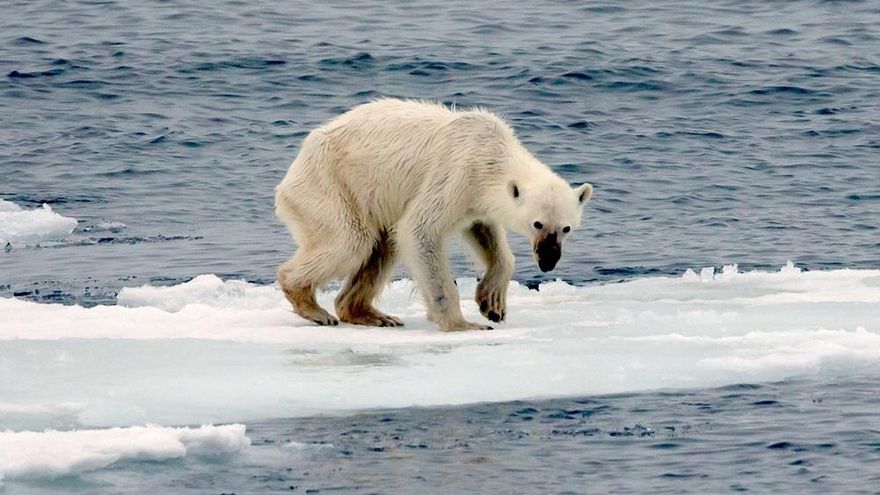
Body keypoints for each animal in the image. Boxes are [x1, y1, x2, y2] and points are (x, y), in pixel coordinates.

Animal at [275, 98, 593, 331]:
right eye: (537, 223)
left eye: (566, 228)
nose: (548, 260)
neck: (491, 153)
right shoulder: (456, 172)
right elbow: (420, 230)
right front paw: (463, 324)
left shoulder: (475, 199)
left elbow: (484, 232)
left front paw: (492, 303)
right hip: (330, 185)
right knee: (351, 240)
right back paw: (312, 305)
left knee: (382, 245)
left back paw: (372, 314)